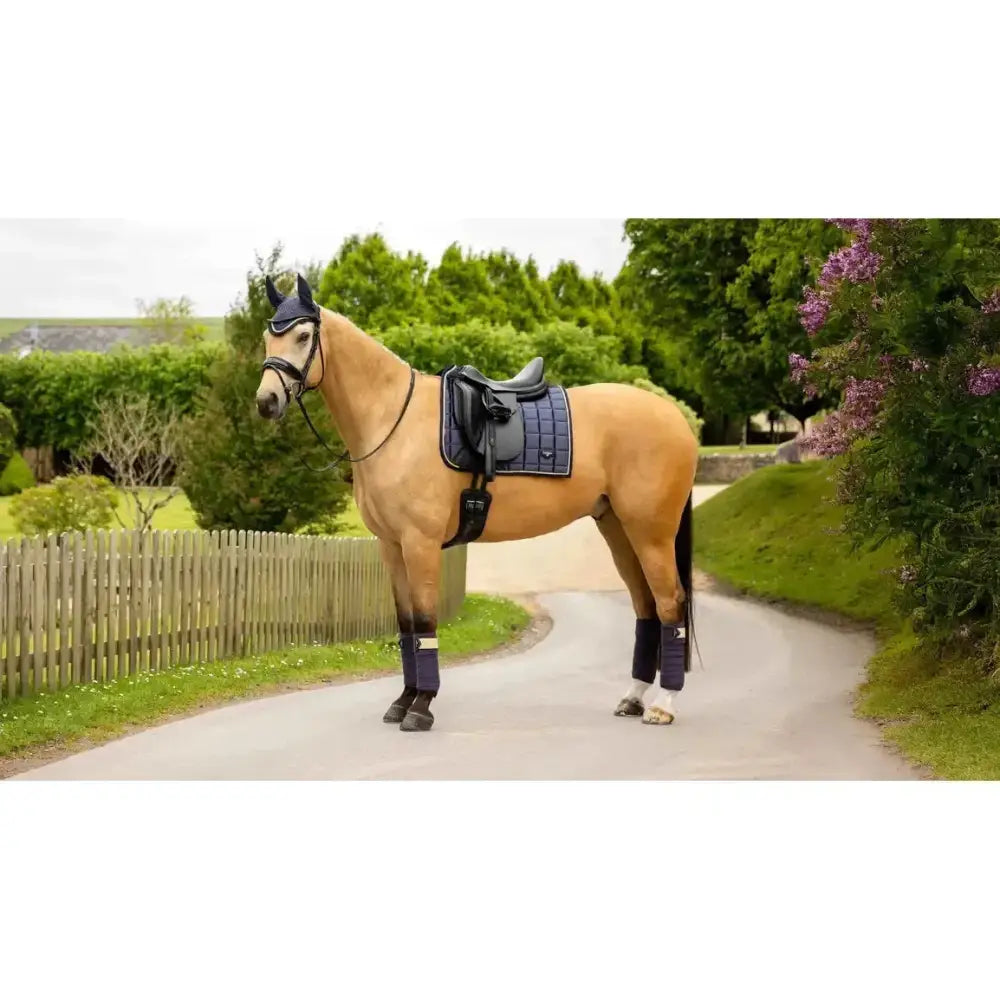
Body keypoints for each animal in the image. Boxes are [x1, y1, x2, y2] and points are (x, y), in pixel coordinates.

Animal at [255, 274, 698, 732]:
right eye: (267, 337)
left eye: (304, 336)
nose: (266, 401)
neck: (393, 419)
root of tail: (675, 418)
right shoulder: (391, 546)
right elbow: (407, 625)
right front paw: (403, 701)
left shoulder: (420, 543)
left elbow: (425, 622)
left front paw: (421, 707)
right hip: (617, 529)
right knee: (645, 606)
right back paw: (633, 698)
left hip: (651, 535)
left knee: (670, 603)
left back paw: (663, 705)